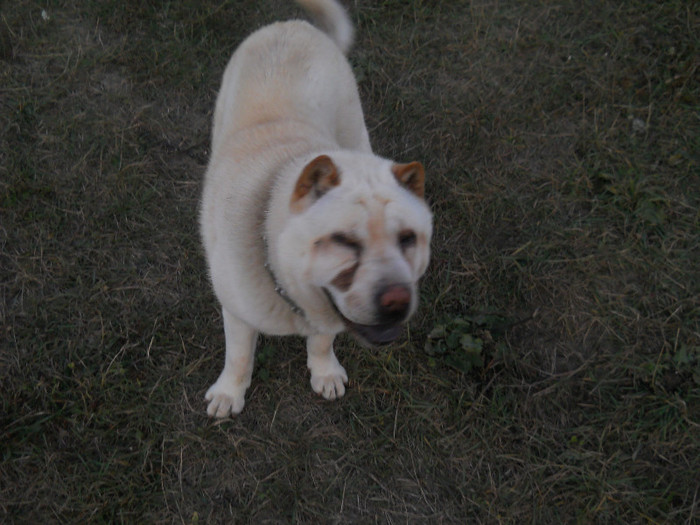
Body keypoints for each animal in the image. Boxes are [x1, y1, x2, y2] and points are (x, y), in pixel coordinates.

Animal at [197, 1, 434, 418]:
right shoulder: (237, 313)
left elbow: (323, 340)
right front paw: (229, 393)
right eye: (343, 241)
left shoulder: (329, 315)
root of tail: (291, 25)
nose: (396, 302)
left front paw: (324, 372)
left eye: (408, 239)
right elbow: (239, 356)